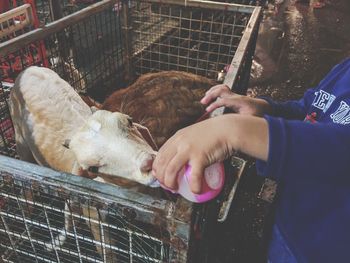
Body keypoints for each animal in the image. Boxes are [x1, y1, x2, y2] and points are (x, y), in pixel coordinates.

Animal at [8, 66, 159, 262]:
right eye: (93, 168)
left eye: (129, 121)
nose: (148, 163)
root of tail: (27, 69)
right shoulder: (94, 214)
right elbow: (107, 251)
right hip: (21, 141)